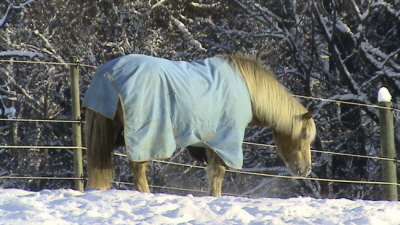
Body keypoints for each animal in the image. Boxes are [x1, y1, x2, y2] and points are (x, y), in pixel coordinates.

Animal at [83, 53, 318, 196]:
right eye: (304, 136)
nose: (305, 170)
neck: (248, 90)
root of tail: (107, 76)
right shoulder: (223, 142)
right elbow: (217, 175)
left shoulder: (207, 144)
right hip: (144, 134)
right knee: (138, 167)